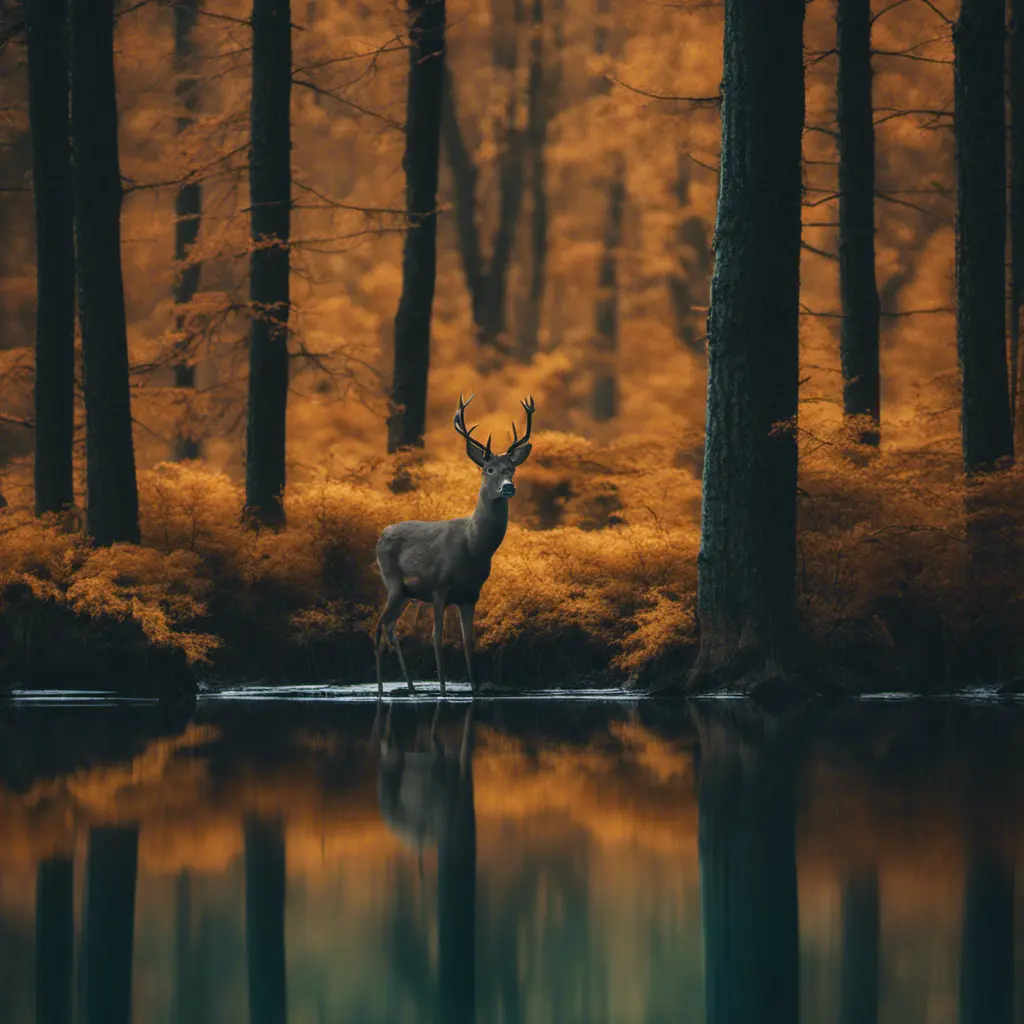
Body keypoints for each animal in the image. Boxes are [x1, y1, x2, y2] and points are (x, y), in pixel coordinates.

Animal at [374, 391, 536, 696]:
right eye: (488, 469)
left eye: (511, 469)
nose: (508, 487)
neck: (473, 548)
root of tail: (380, 536)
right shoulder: (439, 587)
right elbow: (437, 639)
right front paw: (442, 690)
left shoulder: (471, 595)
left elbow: (468, 644)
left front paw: (473, 688)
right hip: (393, 582)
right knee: (380, 627)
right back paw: (381, 690)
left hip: (406, 593)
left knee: (389, 627)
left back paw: (411, 687)